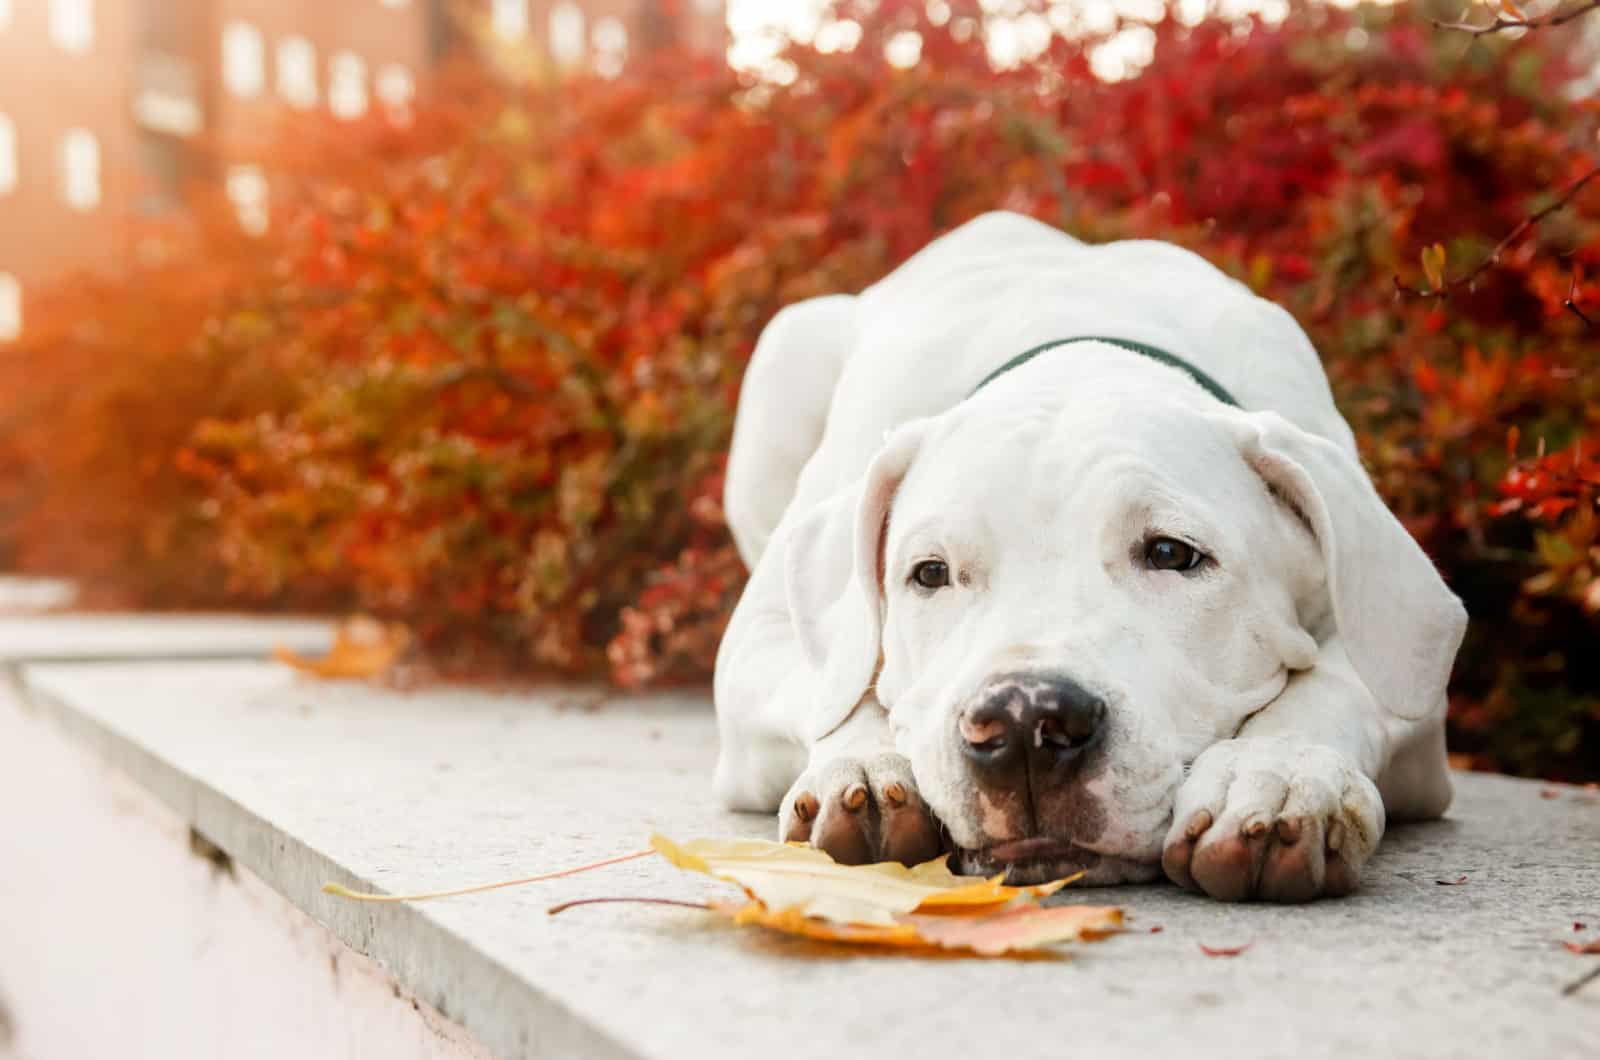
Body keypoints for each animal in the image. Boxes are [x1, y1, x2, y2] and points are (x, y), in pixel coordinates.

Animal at [720, 209, 1465, 903]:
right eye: (929, 573)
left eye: (1171, 553)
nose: (1023, 722)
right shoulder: (759, 644)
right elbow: (840, 692)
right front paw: (867, 768)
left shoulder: (1407, 646)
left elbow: (1346, 680)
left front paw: (1277, 772)